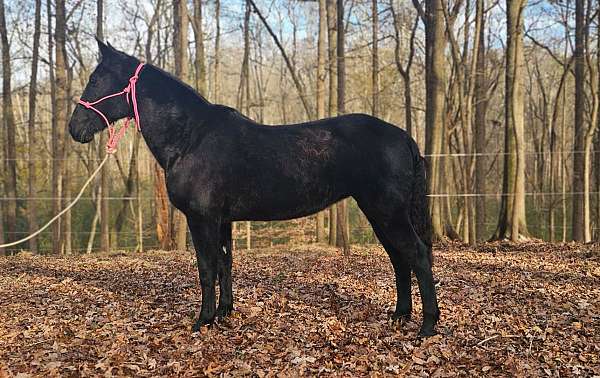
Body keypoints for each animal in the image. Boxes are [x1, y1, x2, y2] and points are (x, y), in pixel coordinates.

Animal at [69, 40, 440, 336]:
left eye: (96, 78)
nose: (75, 128)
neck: (191, 137)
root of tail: (404, 137)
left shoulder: (201, 219)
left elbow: (206, 268)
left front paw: (202, 321)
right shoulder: (221, 220)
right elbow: (224, 263)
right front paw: (224, 313)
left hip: (387, 213)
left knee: (417, 255)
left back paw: (427, 326)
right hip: (380, 215)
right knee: (399, 259)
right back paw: (400, 315)